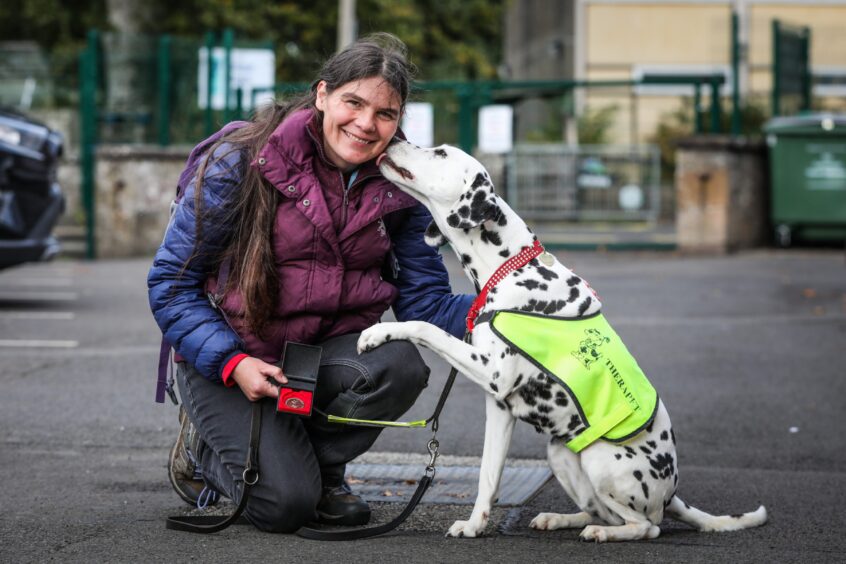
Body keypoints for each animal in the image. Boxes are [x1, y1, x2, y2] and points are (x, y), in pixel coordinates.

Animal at [358, 141, 768, 540]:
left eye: (441, 153)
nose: (395, 139)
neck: (511, 267)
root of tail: (671, 495)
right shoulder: (498, 408)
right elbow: (488, 476)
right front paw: (475, 526)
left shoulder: (492, 372)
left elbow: (426, 328)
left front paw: (377, 332)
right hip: (559, 453)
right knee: (606, 512)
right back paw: (559, 519)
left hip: (600, 461)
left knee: (644, 526)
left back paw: (601, 532)